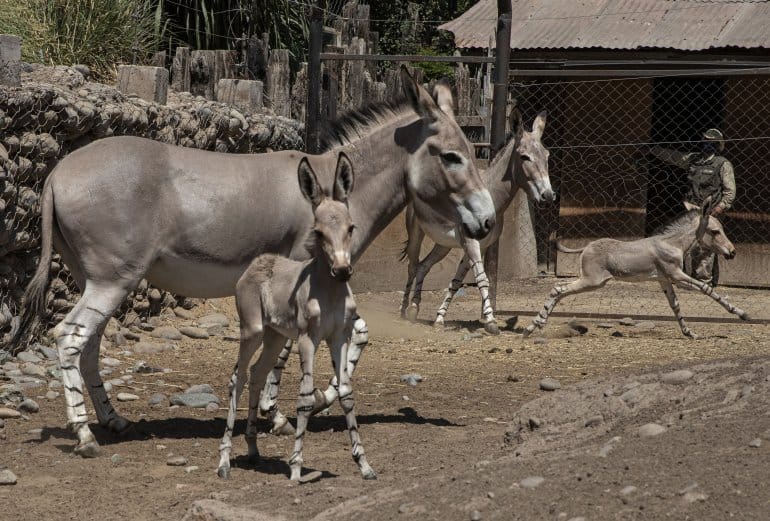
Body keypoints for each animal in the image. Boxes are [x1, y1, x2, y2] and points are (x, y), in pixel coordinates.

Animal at [216, 153, 376, 480]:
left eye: (351, 227)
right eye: (318, 231)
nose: (342, 271)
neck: (329, 293)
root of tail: (257, 263)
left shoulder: (339, 337)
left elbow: (346, 392)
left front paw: (364, 465)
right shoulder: (307, 339)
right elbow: (304, 397)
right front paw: (296, 466)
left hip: (275, 336)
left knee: (257, 373)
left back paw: (253, 450)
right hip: (252, 331)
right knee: (238, 378)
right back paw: (224, 462)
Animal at [520, 201, 744, 340]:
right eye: (715, 231)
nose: (733, 252)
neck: (672, 244)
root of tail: (586, 246)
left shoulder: (664, 280)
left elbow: (675, 306)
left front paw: (690, 333)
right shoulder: (677, 276)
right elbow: (707, 289)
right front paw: (741, 314)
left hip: (591, 281)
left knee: (558, 288)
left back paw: (534, 326)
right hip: (592, 281)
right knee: (558, 289)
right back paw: (534, 326)